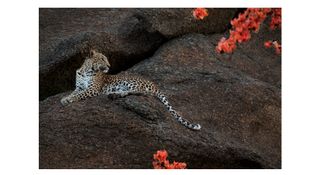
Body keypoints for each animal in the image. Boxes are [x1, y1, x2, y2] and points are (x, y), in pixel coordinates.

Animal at [60, 50, 200, 131]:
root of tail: (155, 85)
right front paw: (65, 98)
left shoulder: (92, 89)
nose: (109, 66)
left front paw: (67, 100)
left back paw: (115, 94)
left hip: (131, 83)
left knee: (142, 93)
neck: (86, 71)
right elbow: (74, 92)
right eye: (102, 59)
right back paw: (114, 94)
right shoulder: (79, 87)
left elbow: (79, 95)